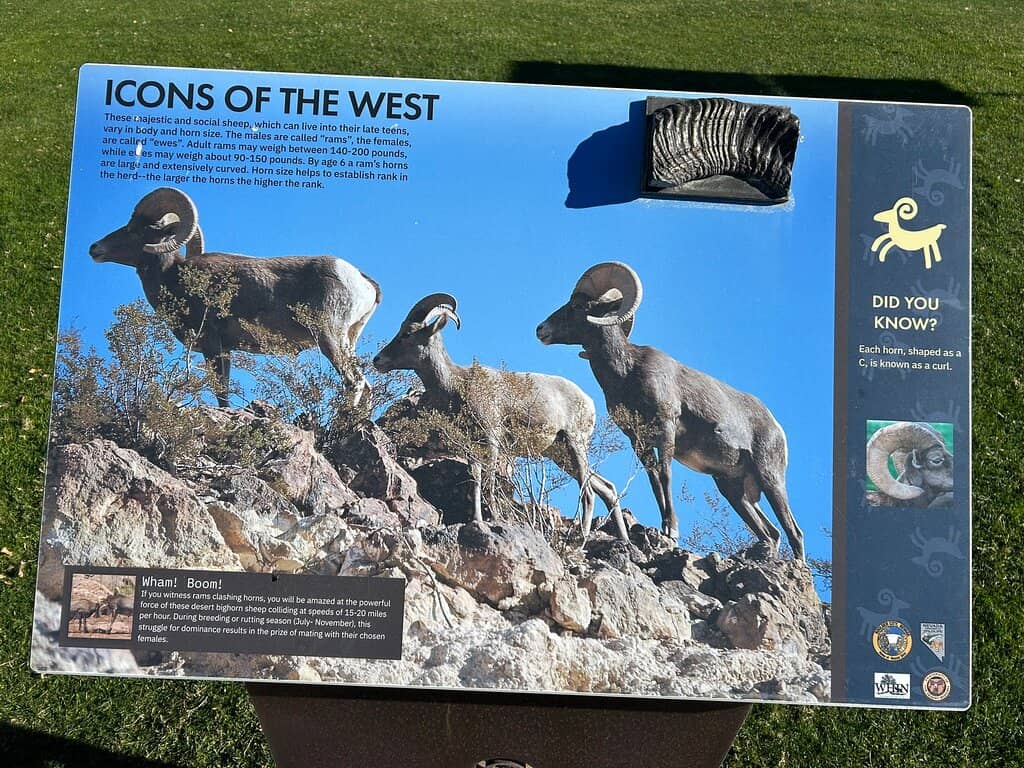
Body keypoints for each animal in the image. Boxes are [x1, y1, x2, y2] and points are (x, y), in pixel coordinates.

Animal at [89, 187, 381, 408]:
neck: (175, 279)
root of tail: (362, 280)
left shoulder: (212, 345)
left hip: (328, 337)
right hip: (347, 340)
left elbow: (221, 394)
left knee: (353, 383)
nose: (94, 248)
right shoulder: (225, 349)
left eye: (137, 230)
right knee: (365, 387)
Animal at [373, 293, 628, 539]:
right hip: (560, 454)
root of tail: (588, 401)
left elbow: (489, 483)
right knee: (606, 488)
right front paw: (477, 519)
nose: (378, 360)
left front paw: (494, 518)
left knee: (588, 492)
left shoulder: (491, 439)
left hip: (575, 445)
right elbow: (476, 482)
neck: (457, 384)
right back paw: (623, 539)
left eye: (407, 333)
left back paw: (583, 535)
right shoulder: (471, 448)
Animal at [536, 261, 805, 560]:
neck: (627, 372)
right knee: (772, 533)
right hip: (734, 491)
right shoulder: (637, 439)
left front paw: (671, 530)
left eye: (578, 305)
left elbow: (665, 475)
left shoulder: (666, 427)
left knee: (794, 532)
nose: (541, 329)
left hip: (770, 478)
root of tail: (776, 427)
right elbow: (653, 478)